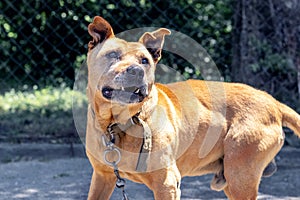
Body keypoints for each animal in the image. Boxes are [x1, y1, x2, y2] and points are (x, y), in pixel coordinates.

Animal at [85, 16, 300, 199]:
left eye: (144, 61)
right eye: (113, 55)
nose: (136, 71)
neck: (117, 125)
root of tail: (272, 101)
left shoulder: (167, 184)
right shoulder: (102, 178)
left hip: (240, 176)